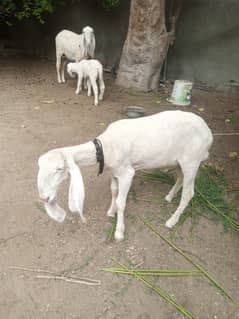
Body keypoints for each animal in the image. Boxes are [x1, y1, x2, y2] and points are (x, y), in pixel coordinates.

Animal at [37, 111, 213, 241]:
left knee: (189, 193)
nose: (44, 198)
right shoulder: (115, 173)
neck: (105, 147)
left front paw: (119, 232)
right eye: (39, 167)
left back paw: (171, 221)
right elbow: (114, 191)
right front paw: (111, 211)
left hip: (192, 161)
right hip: (179, 161)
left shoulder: (127, 173)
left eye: (59, 169)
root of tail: (209, 133)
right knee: (180, 179)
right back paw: (169, 197)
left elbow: (122, 202)